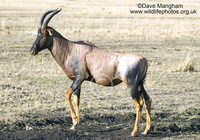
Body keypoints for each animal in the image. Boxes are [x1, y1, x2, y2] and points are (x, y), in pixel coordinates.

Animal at [29, 8, 152, 137]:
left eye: (42, 34)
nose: (32, 50)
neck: (72, 49)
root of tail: (143, 59)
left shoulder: (80, 77)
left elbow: (67, 95)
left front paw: (74, 122)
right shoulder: (78, 81)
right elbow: (76, 99)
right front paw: (74, 125)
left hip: (131, 85)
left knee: (139, 103)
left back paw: (133, 132)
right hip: (140, 84)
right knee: (148, 100)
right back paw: (145, 130)